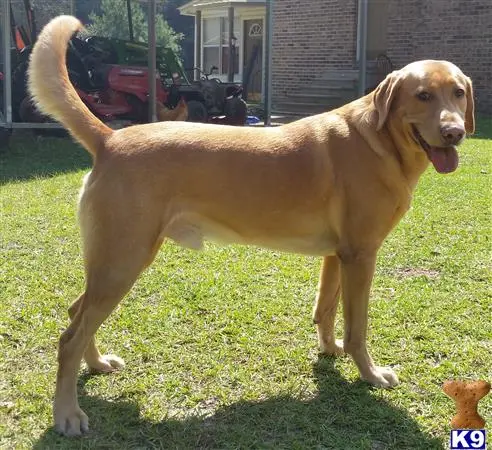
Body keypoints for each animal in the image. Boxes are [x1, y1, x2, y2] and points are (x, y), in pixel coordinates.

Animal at [27, 15, 472, 434]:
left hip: (112, 264)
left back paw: (98, 364)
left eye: (458, 93)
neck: (380, 140)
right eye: (423, 95)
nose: (455, 133)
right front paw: (370, 373)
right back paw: (67, 414)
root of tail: (110, 139)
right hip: (123, 261)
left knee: (76, 312)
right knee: (69, 337)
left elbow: (326, 311)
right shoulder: (361, 256)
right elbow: (357, 327)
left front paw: (330, 351)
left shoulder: (338, 255)